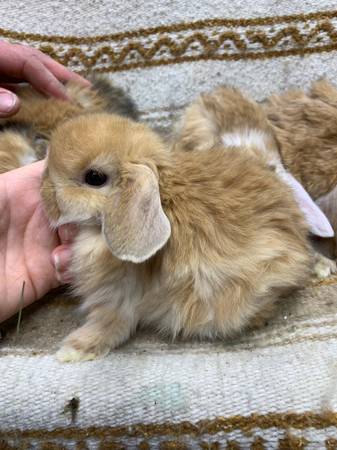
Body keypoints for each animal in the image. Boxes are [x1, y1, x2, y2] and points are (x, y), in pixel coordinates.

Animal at [41, 107, 312, 364]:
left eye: (94, 177)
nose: (44, 193)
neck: (164, 190)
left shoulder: (117, 299)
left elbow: (108, 325)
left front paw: (73, 350)